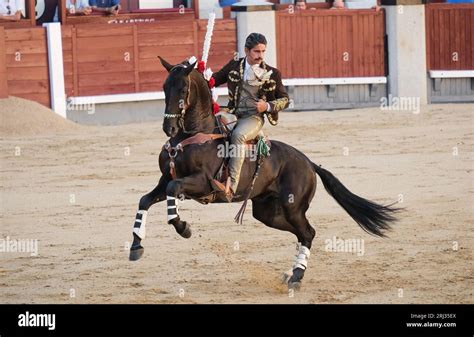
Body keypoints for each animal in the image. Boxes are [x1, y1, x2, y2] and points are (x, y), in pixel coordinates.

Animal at [127, 55, 400, 288]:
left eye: (183, 90)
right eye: (164, 87)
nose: (169, 128)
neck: (191, 135)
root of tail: (309, 163)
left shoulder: (201, 182)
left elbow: (173, 191)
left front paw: (183, 227)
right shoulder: (165, 178)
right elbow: (145, 199)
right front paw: (136, 246)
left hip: (292, 206)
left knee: (308, 232)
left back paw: (297, 276)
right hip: (267, 211)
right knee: (301, 233)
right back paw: (291, 272)